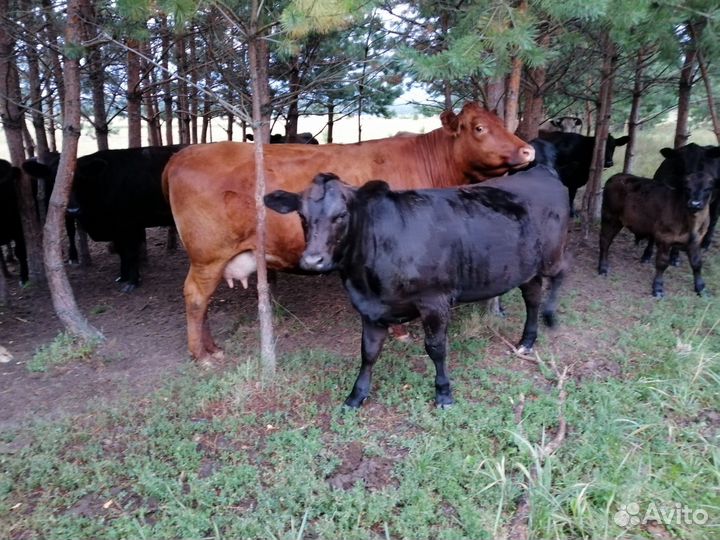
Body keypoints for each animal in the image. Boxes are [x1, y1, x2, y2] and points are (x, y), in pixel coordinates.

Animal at [22, 145, 186, 292]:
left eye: (81, 179)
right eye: (53, 181)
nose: (72, 210)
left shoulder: (129, 225)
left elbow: (130, 252)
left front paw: (132, 282)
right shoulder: (117, 229)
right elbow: (121, 252)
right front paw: (123, 277)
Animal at [163, 102, 536, 362]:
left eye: (503, 123)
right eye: (479, 127)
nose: (528, 150)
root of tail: (187, 152)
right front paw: (400, 332)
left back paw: (212, 347)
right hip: (208, 254)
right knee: (195, 297)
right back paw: (202, 355)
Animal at [264, 169, 569, 407]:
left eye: (341, 215)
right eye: (302, 216)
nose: (312, 260)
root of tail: (540, 171)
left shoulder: (435, 300)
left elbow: (436, 348)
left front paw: (443, 393)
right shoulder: (370, 308)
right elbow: (368, 352)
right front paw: (356, 395)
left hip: (552, 254)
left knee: (562, 274)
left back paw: (550, 315)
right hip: (527, 266)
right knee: (532, 297)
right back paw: (526, 341)